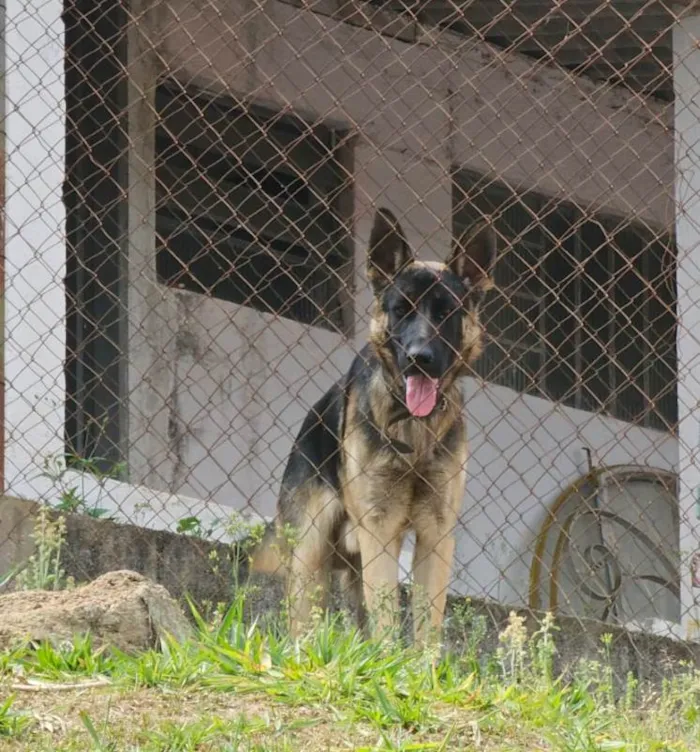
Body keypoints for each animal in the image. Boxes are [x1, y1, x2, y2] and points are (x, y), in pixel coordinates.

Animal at [252, 209, 498, 644]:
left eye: (446, 313)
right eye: (401, 309)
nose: (419, 358)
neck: (413, 429)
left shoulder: (435, 536)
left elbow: (427, 629)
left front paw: (419, 663)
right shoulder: (379, 530)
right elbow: (387, 622)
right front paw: (390, 658)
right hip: (309, 554)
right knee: (303, 625)